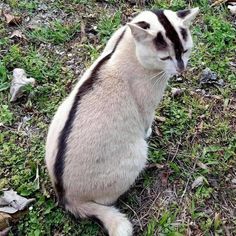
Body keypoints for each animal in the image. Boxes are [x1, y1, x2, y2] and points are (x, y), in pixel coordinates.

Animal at [44, 7, 199, 236]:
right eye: (165, 57)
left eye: (186, 51)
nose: (181, 69)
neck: (127, 43)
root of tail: (66, 198)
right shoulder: (146, 107)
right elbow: (146, 122)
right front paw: (149, 131)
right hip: (137, 154)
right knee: (107, 201)